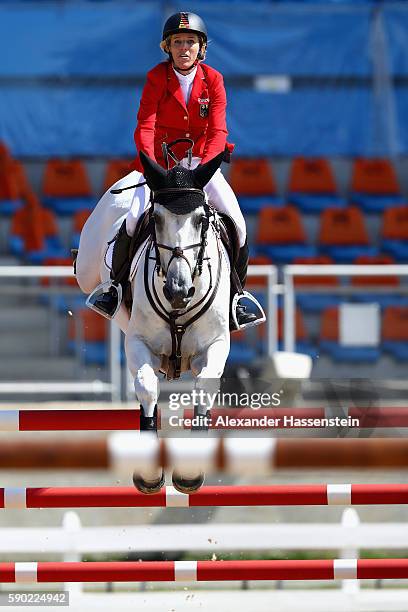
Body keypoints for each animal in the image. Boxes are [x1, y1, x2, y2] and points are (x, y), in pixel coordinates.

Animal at [76, 152, 230, 492]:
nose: (177, 290)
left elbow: (203, 386)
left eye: (200, 220)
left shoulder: (215, 345)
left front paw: (190, 472)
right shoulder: (138, 342)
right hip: (86, 268)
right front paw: (148, 474)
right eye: (156, 220)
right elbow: (147, 387)